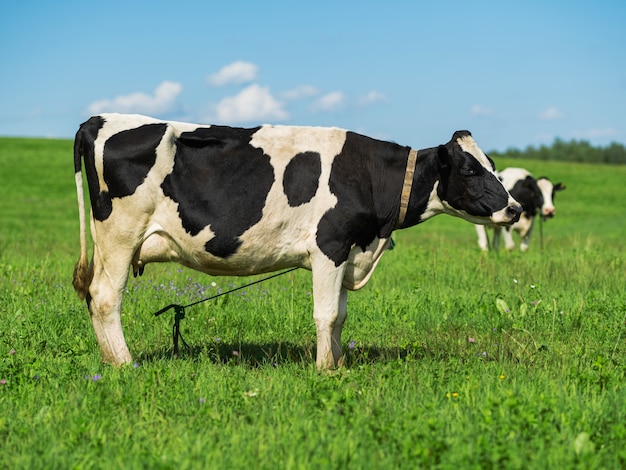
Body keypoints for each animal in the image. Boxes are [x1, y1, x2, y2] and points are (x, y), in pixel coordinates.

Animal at [73, 114, 520, 370]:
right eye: (470, 169)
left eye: (494, 165)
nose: (515, 208)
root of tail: (98, 119)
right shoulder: (330, 245)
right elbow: (326, 314)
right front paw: (324, 369)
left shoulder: (348, 250)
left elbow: (340, 316)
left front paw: (338, 363)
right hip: (120, 234)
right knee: (105, 296)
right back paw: (124, 364)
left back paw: (110, 359)